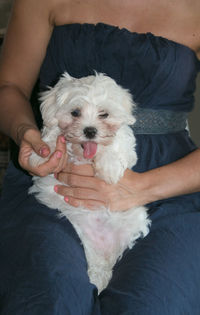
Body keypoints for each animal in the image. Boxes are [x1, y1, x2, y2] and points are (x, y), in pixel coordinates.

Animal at [29, 72, 150, 294]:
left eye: (104, 114)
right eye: (75, 112)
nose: (90, 131)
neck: (83, 155)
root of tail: (104, 255)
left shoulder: (126, 147)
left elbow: (117, 144)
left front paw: (109, 167)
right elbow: (52, 135)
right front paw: (43, 155)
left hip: (133, 218)